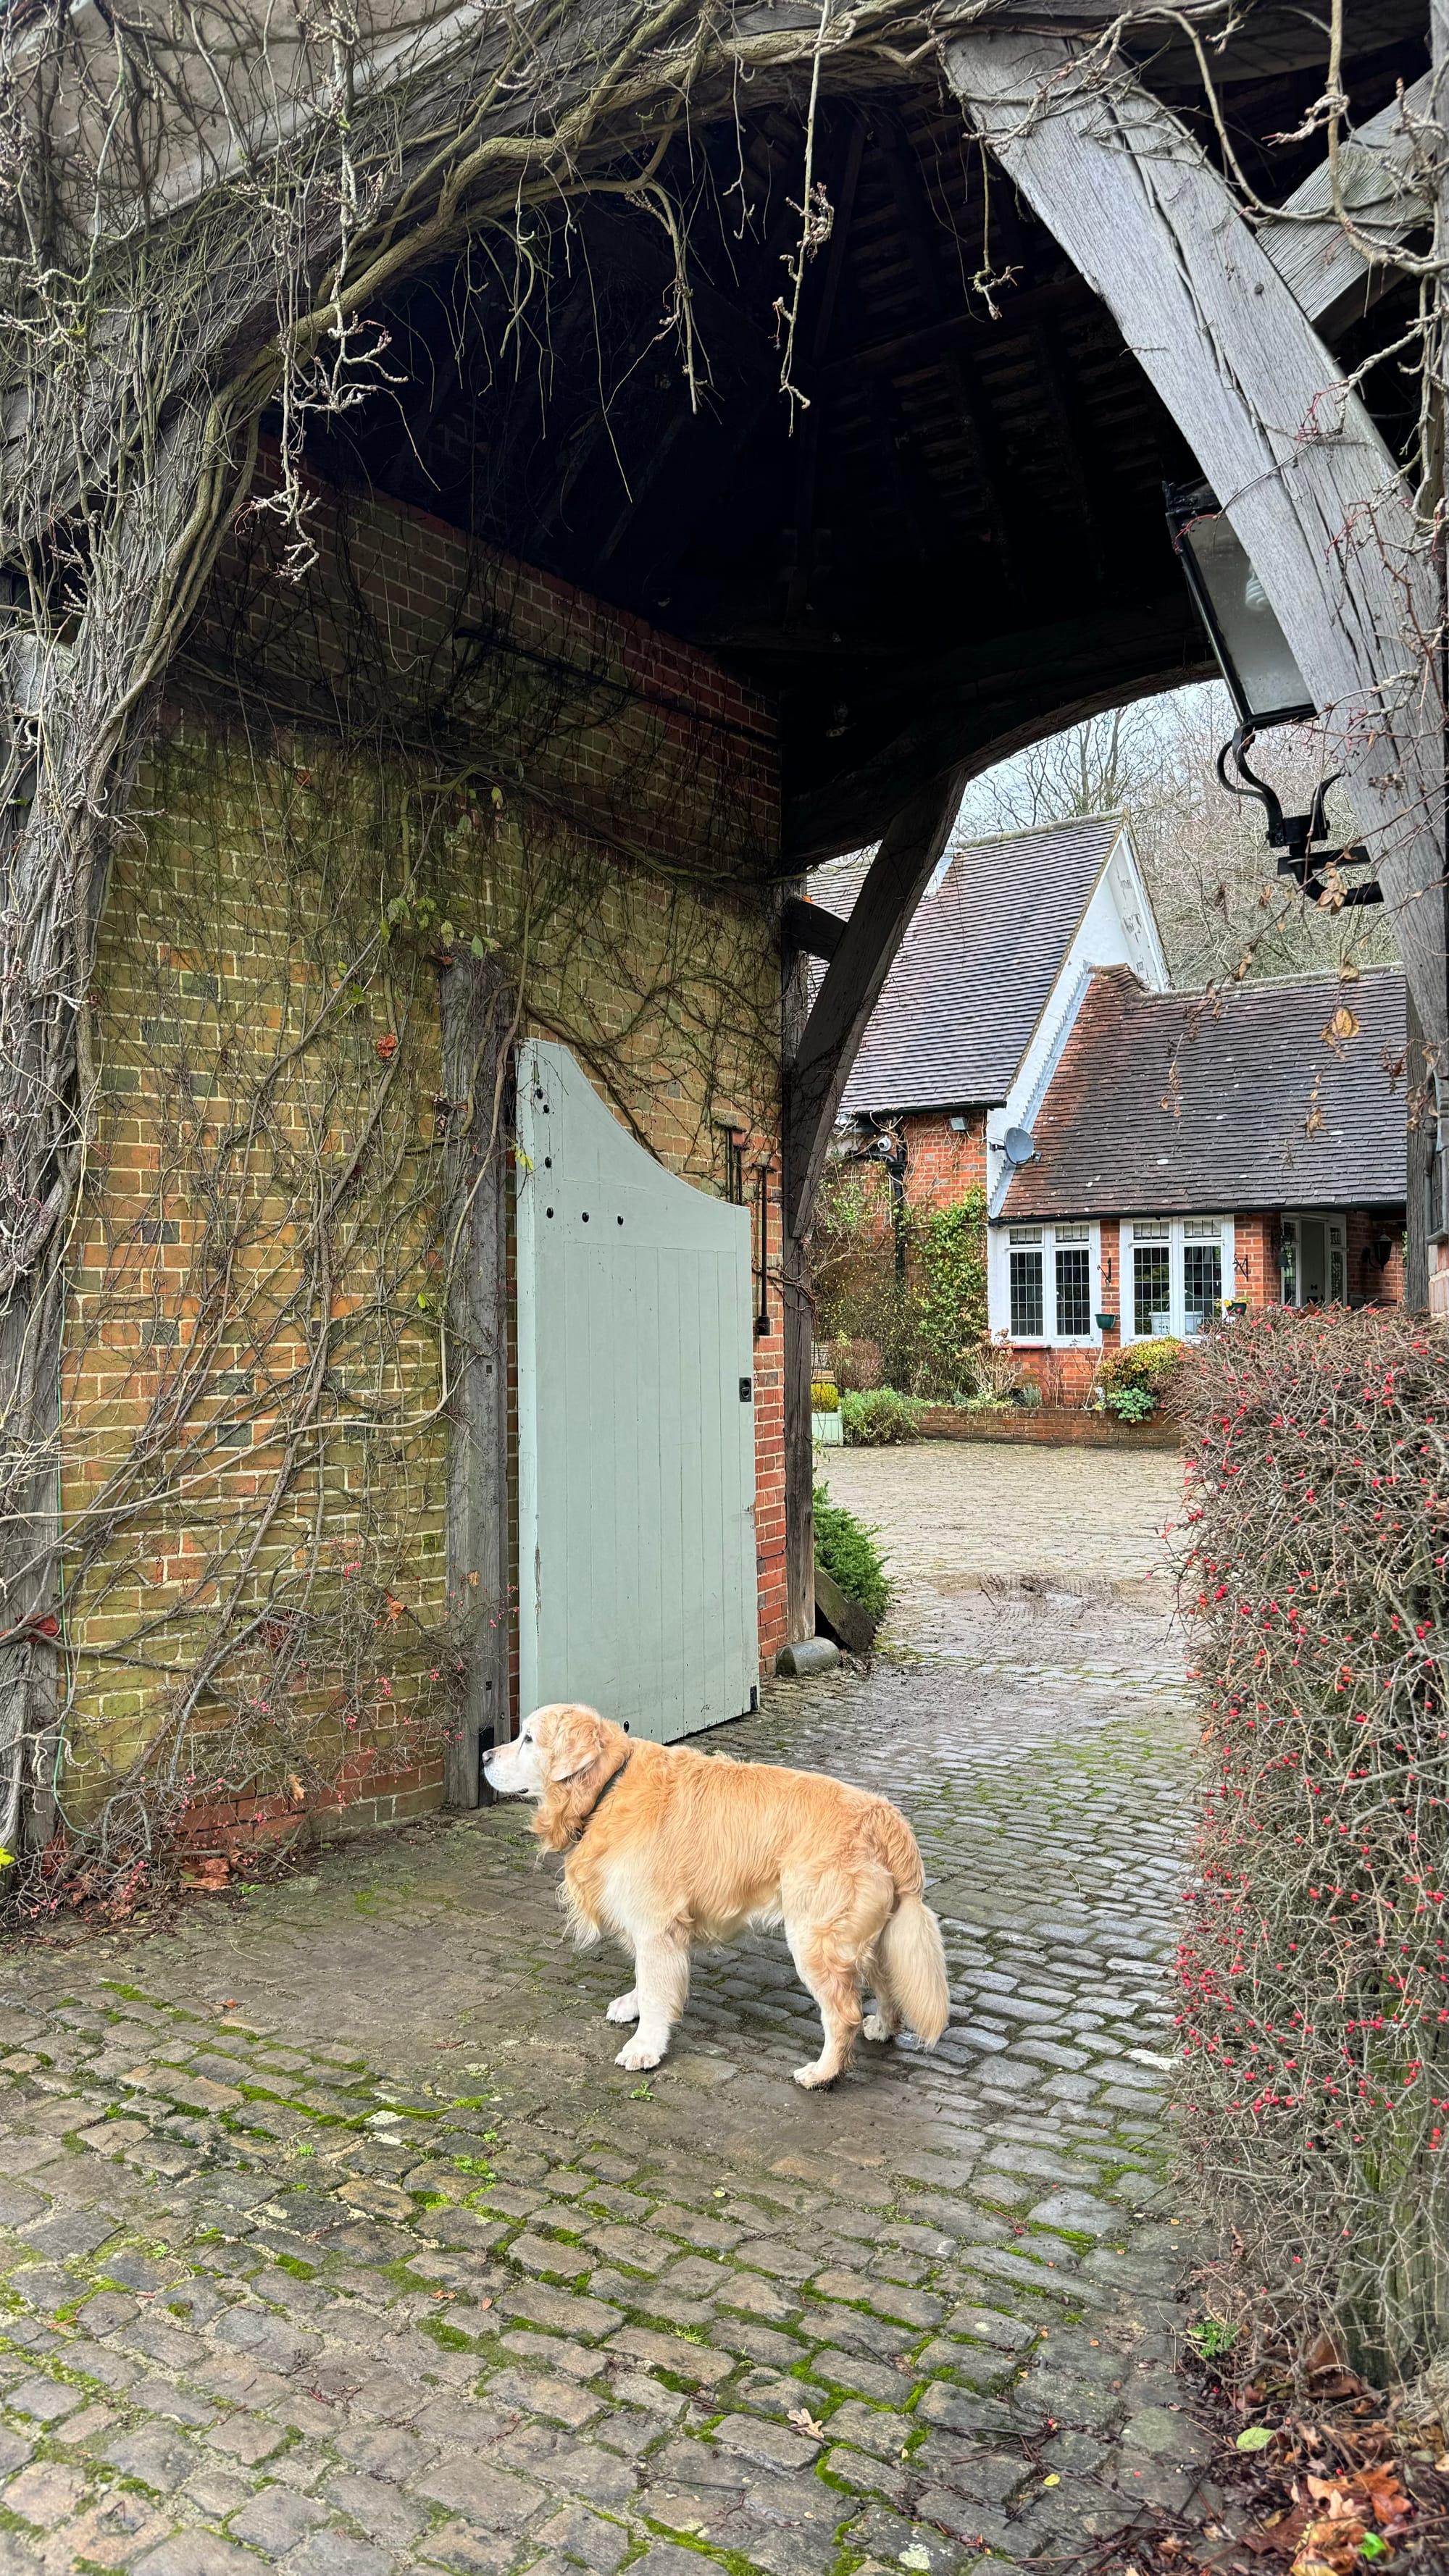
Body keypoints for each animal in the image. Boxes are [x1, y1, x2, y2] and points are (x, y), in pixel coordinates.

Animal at [483, 1703, 950, 2088]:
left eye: (528, 1738)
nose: (485, 1756)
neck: (607, 1788)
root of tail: (885, 1816)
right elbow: (644, 1978)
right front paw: (633, 2005)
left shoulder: (657, 1925)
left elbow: (656, 1988)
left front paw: (645, 2047)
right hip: (869, 1934)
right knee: (887, 1983)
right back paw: (883, 2028)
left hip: (816, 1938)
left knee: (844, 2014)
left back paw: (823, 2073)